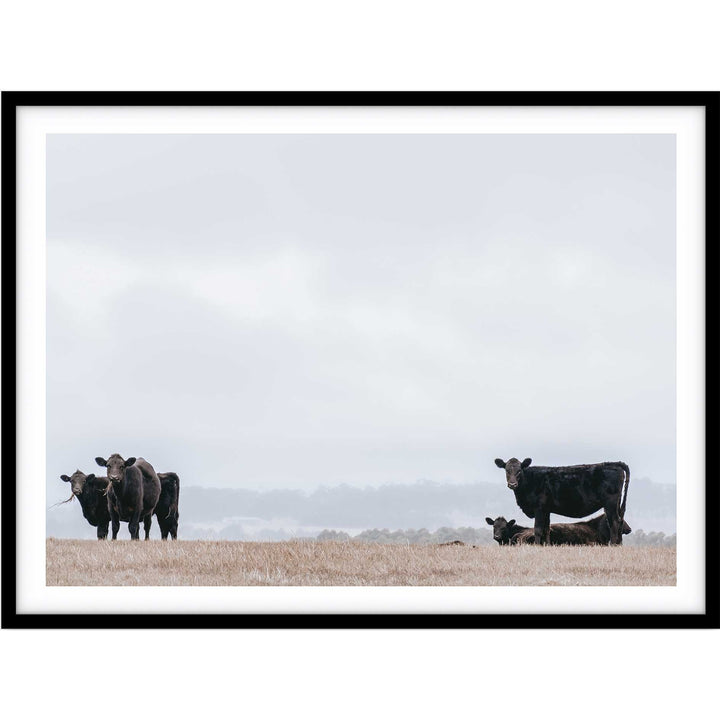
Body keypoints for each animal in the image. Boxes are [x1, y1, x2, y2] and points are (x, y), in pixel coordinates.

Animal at [494, 457, 630, 545]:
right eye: (506, 470)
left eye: (519, 470)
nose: (512, 484)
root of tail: (614, 464)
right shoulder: (546, 510)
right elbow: (546, 529)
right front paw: (547, 545)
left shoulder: (539, 508)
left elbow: (538, 529)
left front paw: (537, 546)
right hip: (617, 504)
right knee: (619, 520)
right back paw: (619, 544)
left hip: (610, 503)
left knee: (614, 522)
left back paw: (613, 545)